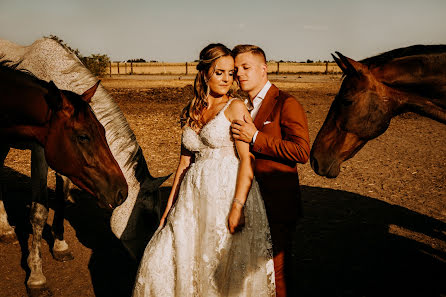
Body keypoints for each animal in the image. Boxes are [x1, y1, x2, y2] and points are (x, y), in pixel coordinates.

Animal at [0, 61, 129, 292]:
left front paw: (60, 245)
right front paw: (36, 275)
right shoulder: (39, 151)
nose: (121, 191)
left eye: (104, 131)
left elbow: (61, 196)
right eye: (83, 136)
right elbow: (39, 212)